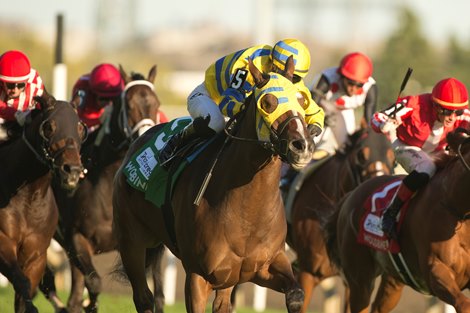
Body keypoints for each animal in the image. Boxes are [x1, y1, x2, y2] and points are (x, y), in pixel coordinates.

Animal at [0, 94, 85, 312]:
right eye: (49, 127)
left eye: (80, 128)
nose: (72, 170)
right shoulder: (3, 241)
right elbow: (22, 282)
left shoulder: (37, 255)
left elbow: (26, 291)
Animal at [38, 64, 164, 310]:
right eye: (129, 105)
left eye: (156, 104)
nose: (145, 136)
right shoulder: (77, 238)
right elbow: (94, 282)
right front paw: (90, 304)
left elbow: (158, 293)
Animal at [112, 56, 314, 312]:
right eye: (268, 102)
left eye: (302, 100)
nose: (302, 146)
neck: (247, 212)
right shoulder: (197, 276)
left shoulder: (262, 266)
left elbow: (296, 294)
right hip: (132, 241)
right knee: (143, 297)